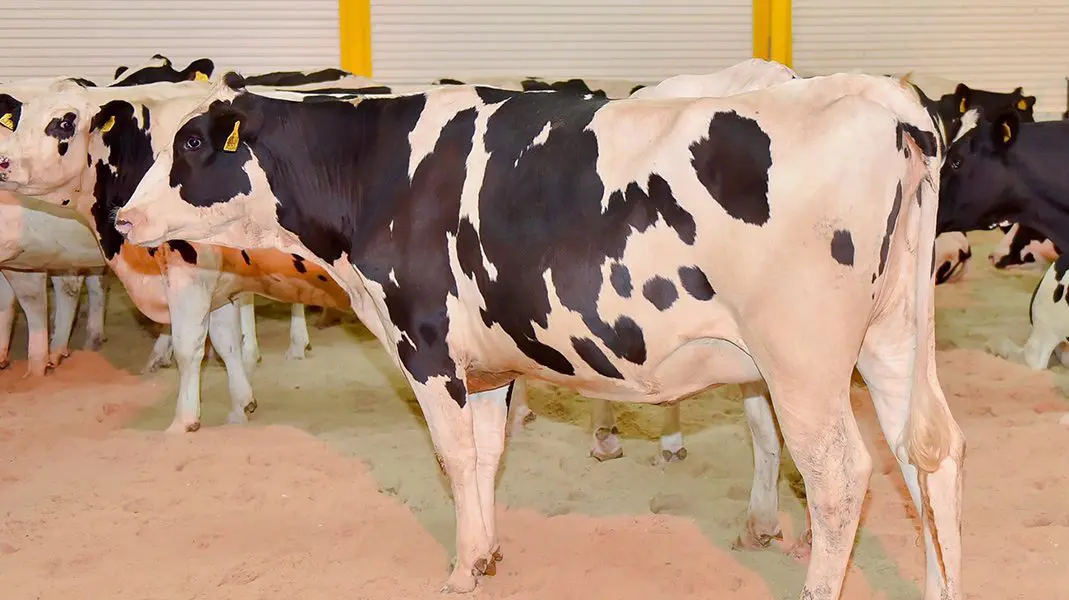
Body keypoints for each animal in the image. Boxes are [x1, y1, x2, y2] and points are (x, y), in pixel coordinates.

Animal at [112, 72, 965, 599]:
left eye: (192, 145)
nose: (122, 216)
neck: (375, 169)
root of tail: (879, 96)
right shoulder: (488, 366)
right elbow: (488, 455)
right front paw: (488, 552)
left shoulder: (425, 343)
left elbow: (455, 457)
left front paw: (461, 567)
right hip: (891, 339)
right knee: (929, 454)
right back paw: (941, 585)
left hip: (801, 359)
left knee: (840, 476)